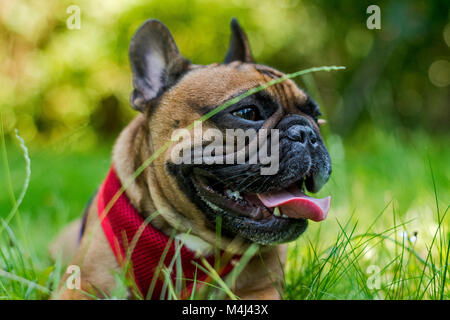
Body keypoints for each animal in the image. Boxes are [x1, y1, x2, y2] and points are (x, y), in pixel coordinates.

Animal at [51, 18, 332, 300]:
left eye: (316, 116)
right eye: (247, 113)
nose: (306, 133)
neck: (191, 236)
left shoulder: (261, 289)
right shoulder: (83, 283)